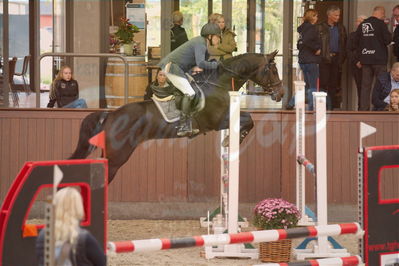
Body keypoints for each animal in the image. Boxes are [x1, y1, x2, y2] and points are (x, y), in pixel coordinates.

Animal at [71, 51, 284, 183]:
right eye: (273, 70)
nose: (280, 94)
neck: (219, 84)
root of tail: (110, 115)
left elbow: (247, 118)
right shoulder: (217, 121)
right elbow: (249, 119)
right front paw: (233, 140)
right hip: (117, 157)